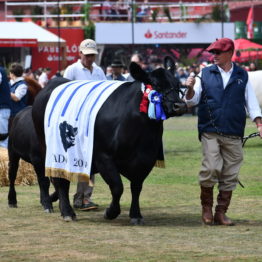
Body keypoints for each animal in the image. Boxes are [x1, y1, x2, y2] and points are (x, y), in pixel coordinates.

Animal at [32, 56, 186, 223]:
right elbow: (118, 187)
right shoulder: (103, 157)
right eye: (157, 85)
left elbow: (136, 187)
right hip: (49, 149)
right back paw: (66, 211)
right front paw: (111, 212)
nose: (180, 105)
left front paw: (136, 214)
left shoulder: (145, 159)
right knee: (58, 181)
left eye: (178, 84)